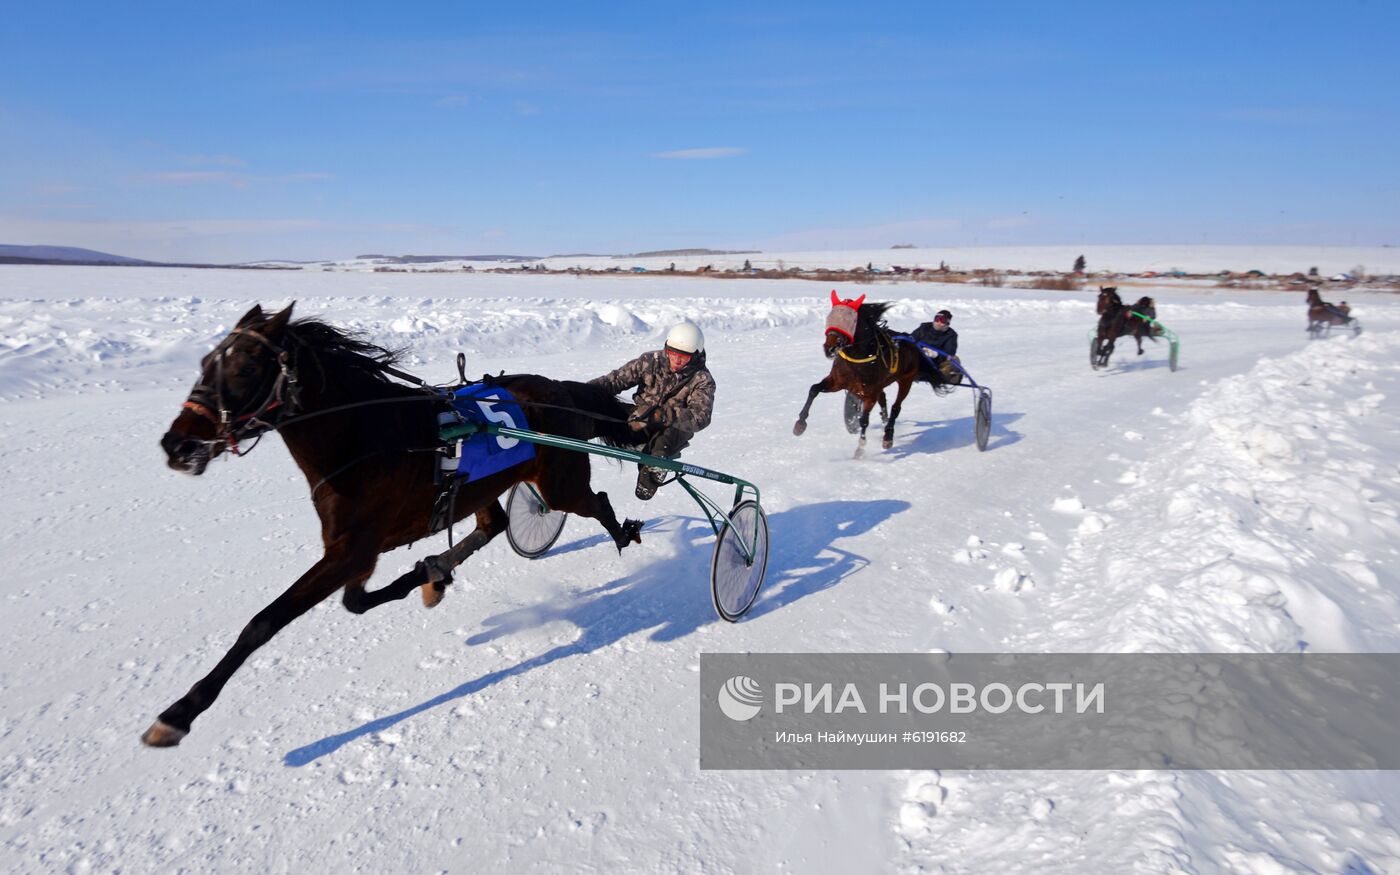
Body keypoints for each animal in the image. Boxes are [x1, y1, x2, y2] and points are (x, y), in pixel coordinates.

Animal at [144, 302, 641, 744]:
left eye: (246, 367)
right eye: (206, 362)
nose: (177, 444)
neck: (364, 439)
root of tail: (560, 388)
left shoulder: (352, 549)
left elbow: (264, 621)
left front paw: (179, 713)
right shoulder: (357, 548)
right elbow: (356, 602)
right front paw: (430, 574)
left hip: (559, 484)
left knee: (595, 503)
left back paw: (624, 532)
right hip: (482, 488)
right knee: (494, 523)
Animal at [795, 291, 946, 456]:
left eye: (850, 320)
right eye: (831, 317)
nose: (829, 349)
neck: (858, 357)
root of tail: (913, 342)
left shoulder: (870, 393)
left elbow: (864, 420)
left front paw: (860, 449)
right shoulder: (837, 382)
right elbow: (814, 389)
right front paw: (800, 424)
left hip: (906, 380)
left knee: (896, 407)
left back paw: (888, 435)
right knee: (883, 399)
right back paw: (884, 421)